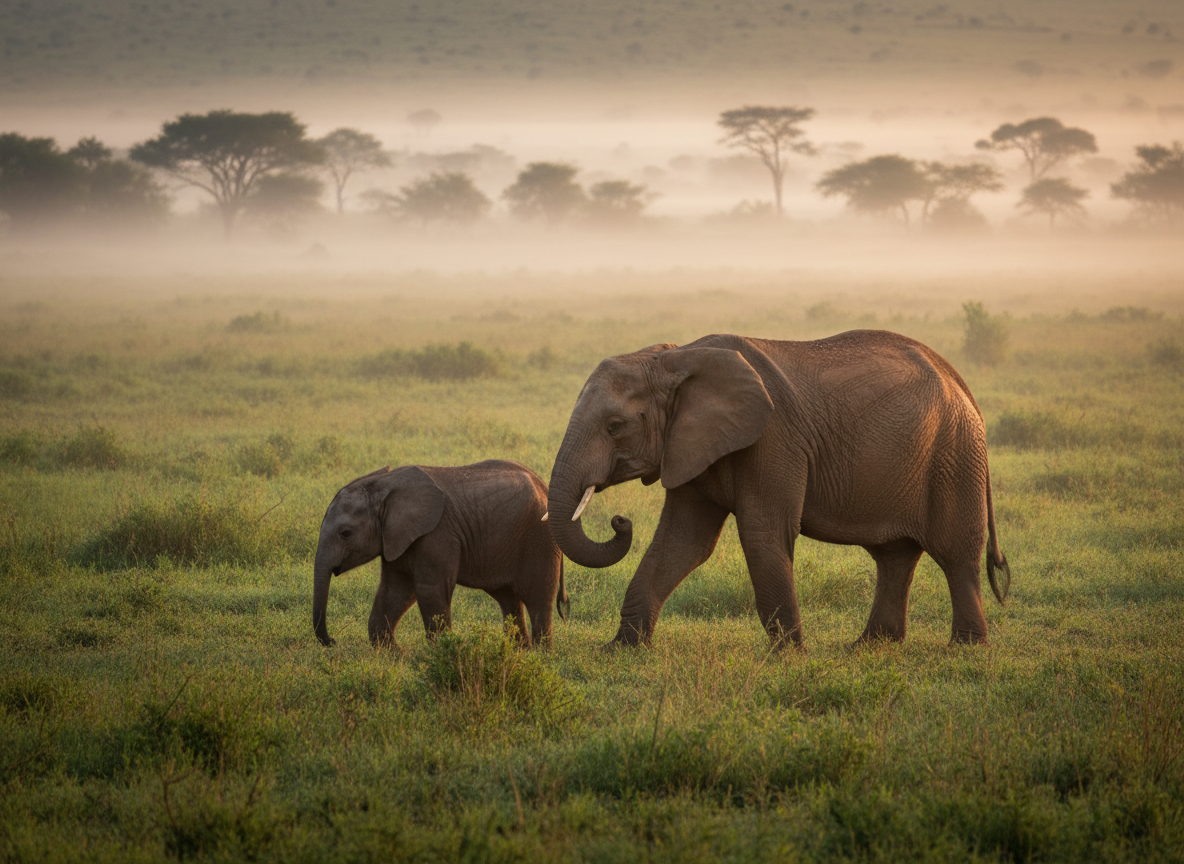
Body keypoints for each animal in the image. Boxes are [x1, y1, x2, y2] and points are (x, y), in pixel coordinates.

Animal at [313, 460, 567, 648]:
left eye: (345, 534)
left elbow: (429, 590)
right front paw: (395, 655)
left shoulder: (436, 535)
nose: (332, 640)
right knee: (509, 600)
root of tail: (543, 485)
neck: (382, 485)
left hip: (539, 539)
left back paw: (540, 657)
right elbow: (394, 590)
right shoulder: (396, 537)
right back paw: (519, 653)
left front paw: (437, 653)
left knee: (538, 600)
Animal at [547, 330, 1010, 649]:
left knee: (955, 553)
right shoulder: (691, 446)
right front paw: (618, 650)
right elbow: (682, 542)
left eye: (615, 426)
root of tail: (957, 378)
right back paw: (868, 647)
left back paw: (964, 649)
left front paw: (788, 656)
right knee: (894, 556)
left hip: (954, 455)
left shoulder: (772, 441)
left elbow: (762, 535)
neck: (675, 357)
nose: (619, 521)